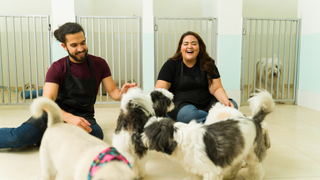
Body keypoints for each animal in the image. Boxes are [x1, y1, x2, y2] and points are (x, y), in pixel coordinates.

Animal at [142, 91, 276, 180]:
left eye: (147, 132)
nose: (141, 136)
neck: (178, 137)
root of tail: (254, 119)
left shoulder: (210, 171)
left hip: (253, 153)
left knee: (257, 169)